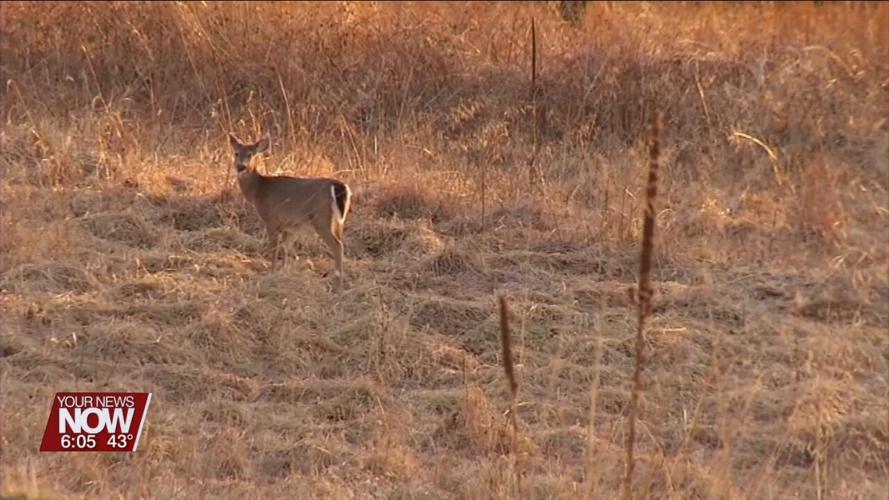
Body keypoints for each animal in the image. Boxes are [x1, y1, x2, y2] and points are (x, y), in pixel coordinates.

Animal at [227, 133, 352, 291]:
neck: (258, 191)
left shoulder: (271, 218)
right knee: (341, 242)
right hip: (338, 222)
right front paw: (283, 271)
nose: (240, 167)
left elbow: (274, 248)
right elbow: (285, 248)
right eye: (236, 153)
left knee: (337, 246)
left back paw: (338, 285)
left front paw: (271, 272)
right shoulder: (290, 226)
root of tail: (338, 186)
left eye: (250, 154)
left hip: (322, 219)